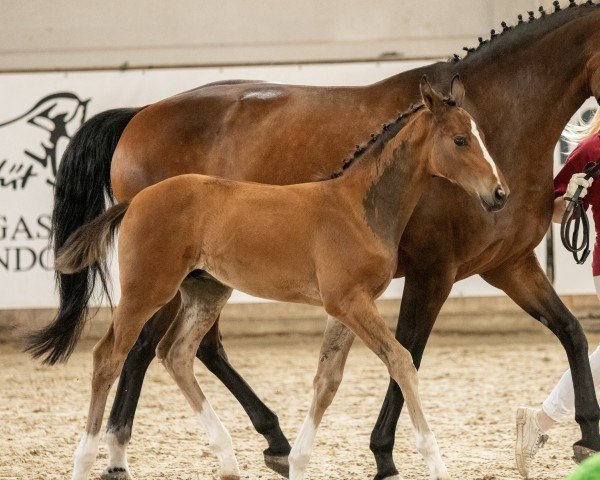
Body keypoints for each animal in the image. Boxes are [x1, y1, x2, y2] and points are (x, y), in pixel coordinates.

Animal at [55, 79, 506, 480]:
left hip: (206, 290)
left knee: (176, 353)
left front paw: (297, 462)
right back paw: (84, 463)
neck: (357, 208)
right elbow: (401, 361)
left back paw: (228, 459)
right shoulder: (349, 301)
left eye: (482, 137)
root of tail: (136, 200)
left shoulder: (345, 307)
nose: (499, 193)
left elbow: (327, 381)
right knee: (109, 357)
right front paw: (436, 465)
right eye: (460, 140)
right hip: (146, 290)